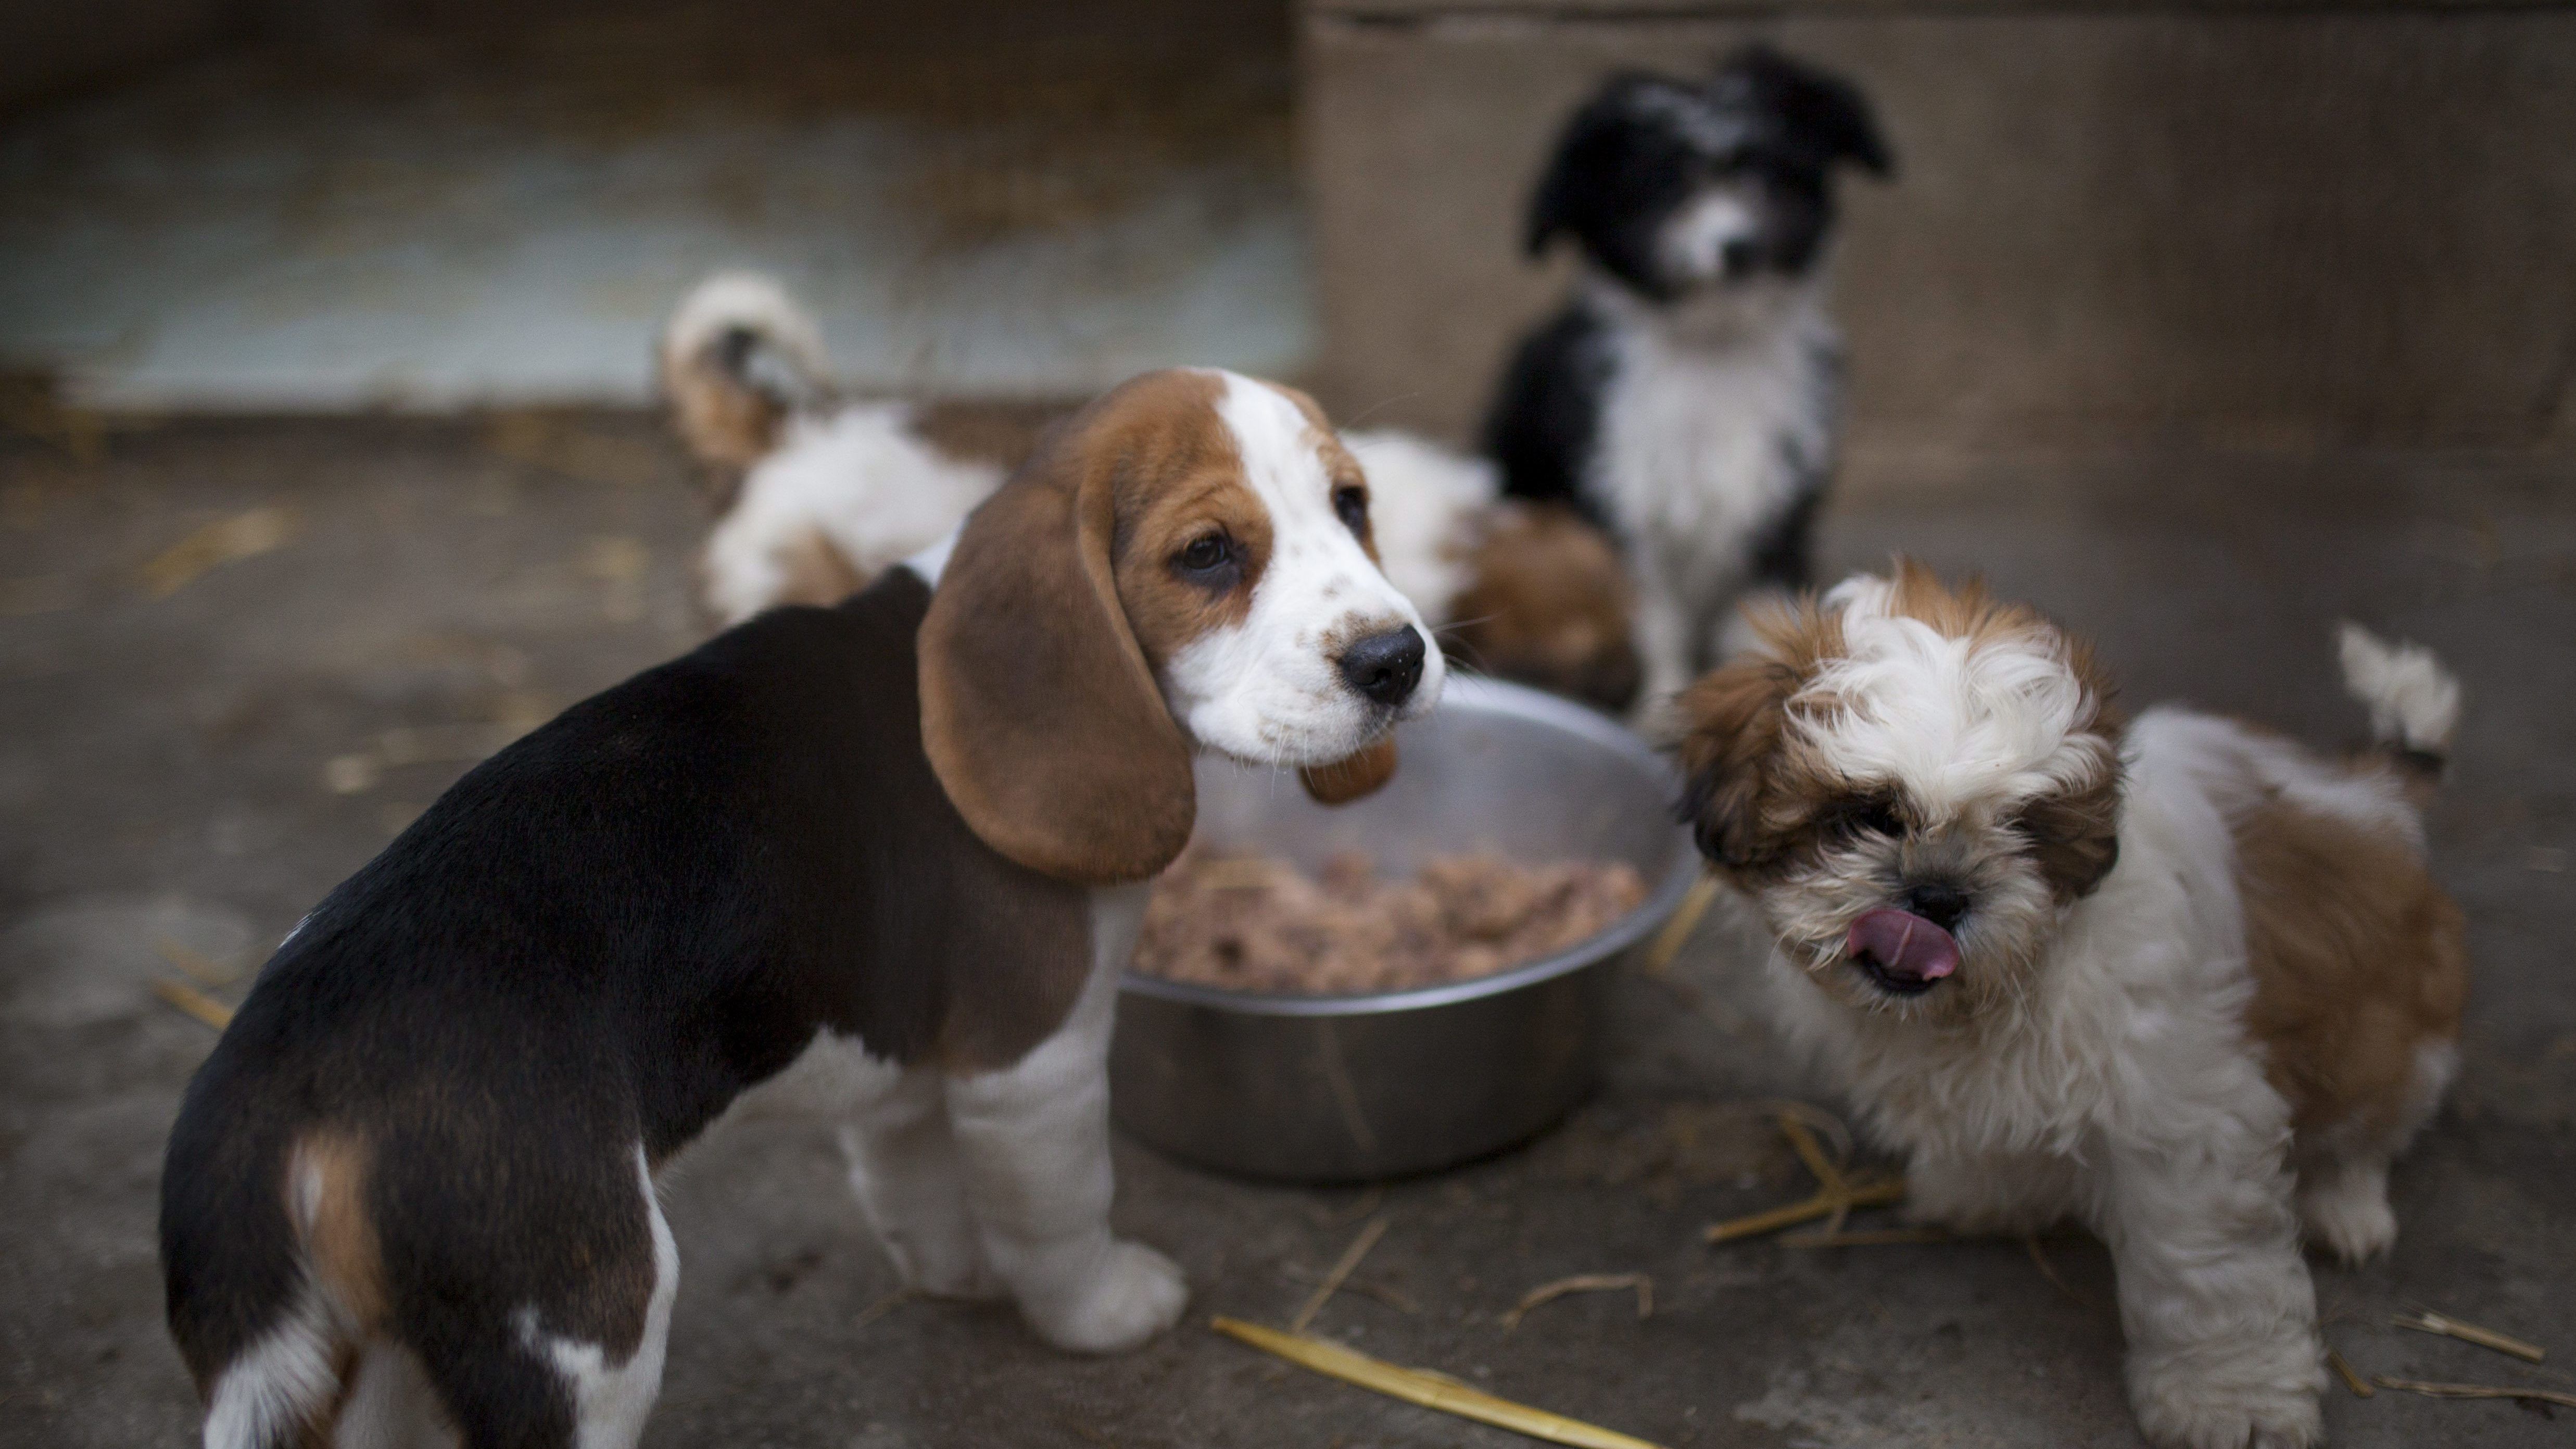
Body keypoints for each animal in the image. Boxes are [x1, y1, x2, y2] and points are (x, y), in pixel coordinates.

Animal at [156, 369, 1453, 1444]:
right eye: (1206, 553)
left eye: (1351, 502)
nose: (1394, 658)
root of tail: (275, 1080)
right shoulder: (1032, 1065)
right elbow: (1060, 1213)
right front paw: (1105, 1307)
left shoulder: (901, 1068)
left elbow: (908, 1178)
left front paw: (951, 1271)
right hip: (584, 1327)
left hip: (351, 1355)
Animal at [1494, 46, 1896, 722]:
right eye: (1666, 187)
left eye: (1765, 171)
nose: (1739, 246)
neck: (1713, 350)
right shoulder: (1621, 497)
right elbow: (1650, 617)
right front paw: (1657, 707)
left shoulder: (1779, 505)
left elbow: (1760, 602)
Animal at [1680, 562, 2463, 1444]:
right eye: (1871, 814)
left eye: (2023, 830)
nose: (1940, 895)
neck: (2013, 978)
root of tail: (2373, 789)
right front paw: (1989, 1189)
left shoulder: (2187, 1111)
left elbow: (2206, 1269)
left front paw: (2231, 1398)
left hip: (2394, 1017)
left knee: (2375, 1117)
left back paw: (2346, 1202)